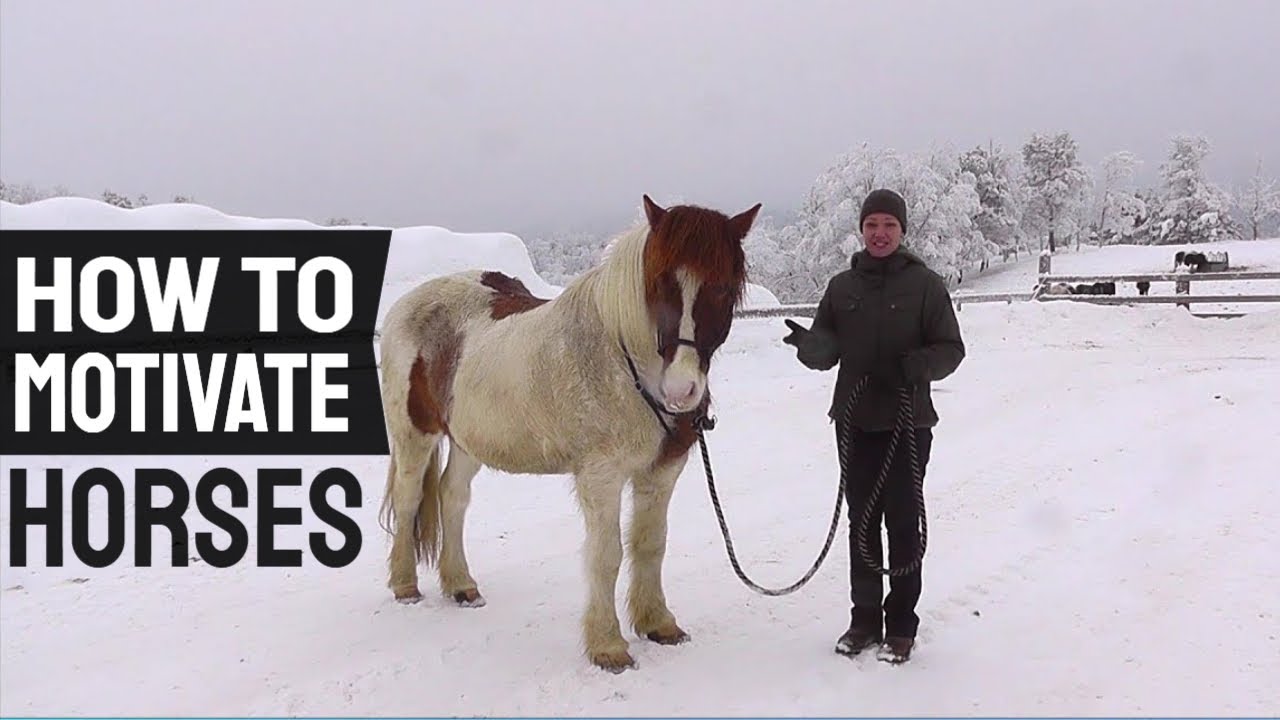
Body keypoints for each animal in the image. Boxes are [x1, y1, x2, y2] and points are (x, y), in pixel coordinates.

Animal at [376, 194, 761, 672]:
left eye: (723, 288)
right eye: (657, 286)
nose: (680, 390)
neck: (622, 361)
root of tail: (407, 305)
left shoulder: (661, 472)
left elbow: (650, 544)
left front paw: (658, 623)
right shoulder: (601, 475)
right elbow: (607, 555)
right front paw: (608, 646)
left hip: (468, 440)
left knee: (453, 497)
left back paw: (461, 584)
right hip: (414, 434)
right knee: (409, 500)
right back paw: (405, 585)